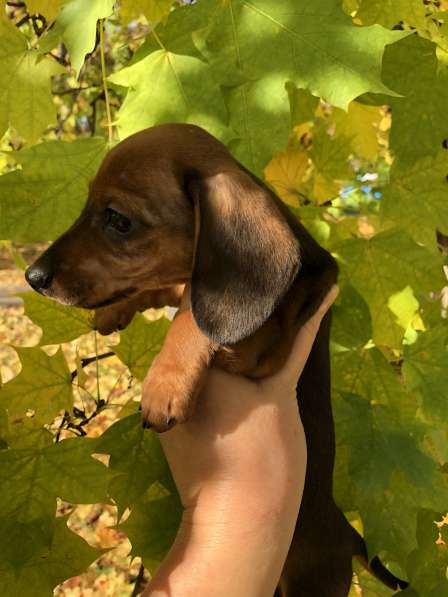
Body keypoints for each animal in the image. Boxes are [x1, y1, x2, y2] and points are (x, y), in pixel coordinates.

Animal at [25, 123, 410, 592]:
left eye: (118, 220)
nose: (32, 277)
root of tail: (349, 532)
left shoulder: (264, 347)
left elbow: (192, 309)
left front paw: (165, 383)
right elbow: (176, 287)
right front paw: (116, 311)